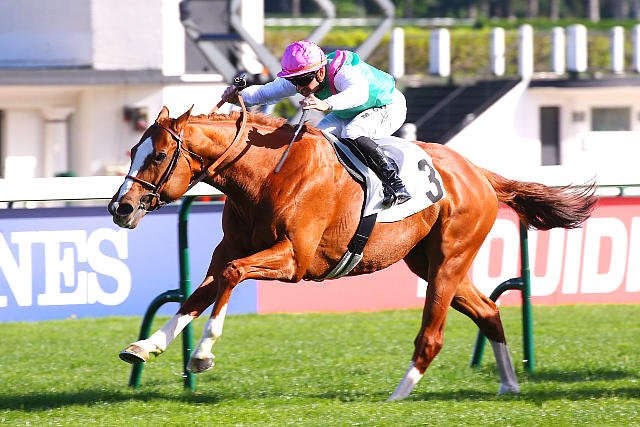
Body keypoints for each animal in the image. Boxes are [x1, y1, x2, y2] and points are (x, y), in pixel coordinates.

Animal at [108, 104, 596, 401]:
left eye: (159, 156)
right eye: (132, 149)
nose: (121, 208)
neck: (267, 175)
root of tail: (478, 172)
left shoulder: (293, 260)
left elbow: (230, 276)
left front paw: (203, 354)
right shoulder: (231, 248)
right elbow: (198, 293)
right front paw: (146, 345)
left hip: (449, 261)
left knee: (432, 336)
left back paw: (398, 395)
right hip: (431, 264)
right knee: (489, 312)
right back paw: (509, 385)